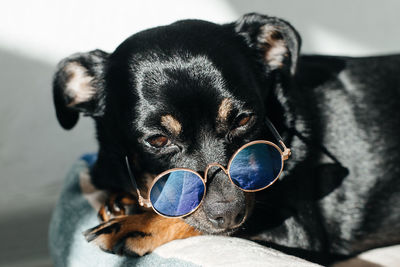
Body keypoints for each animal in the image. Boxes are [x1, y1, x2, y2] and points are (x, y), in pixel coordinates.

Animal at [53, 13, 400, 266]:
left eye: (244, 120)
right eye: (158, 140)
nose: (230, 212)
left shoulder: (295, 233)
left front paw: (136, 223)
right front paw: (126, 204)